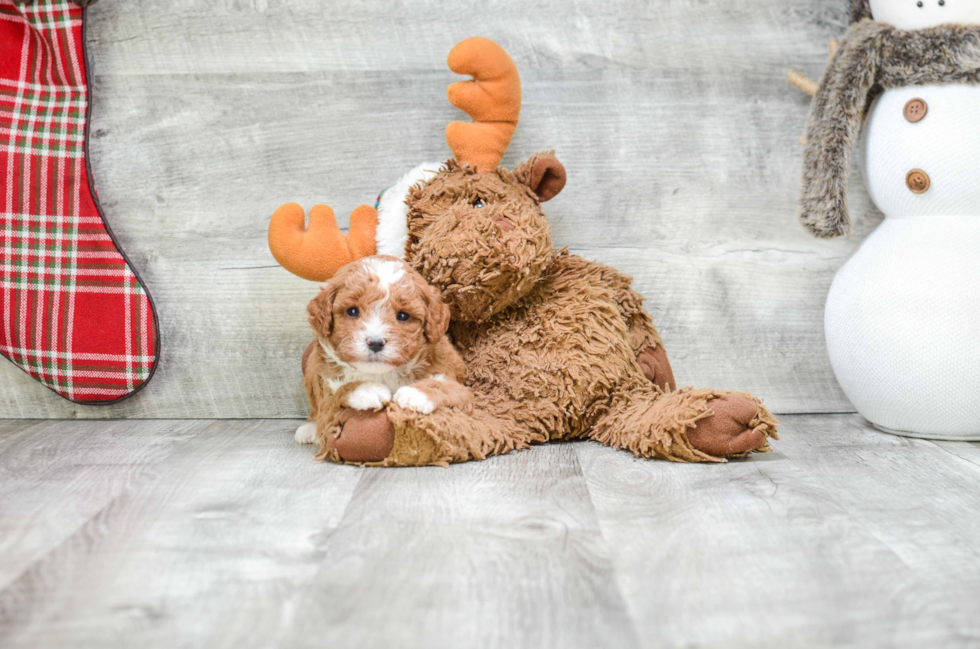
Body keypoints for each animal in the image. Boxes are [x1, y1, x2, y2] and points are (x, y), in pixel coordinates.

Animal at [292, 253, 472, 456]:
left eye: (403, 316)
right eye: (352, 311)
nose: (375, 342)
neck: (382, 373)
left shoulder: (462, 390)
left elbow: (445, 386)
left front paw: (415, 393)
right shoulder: (326, 398)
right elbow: (338, 393)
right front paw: (368, 390)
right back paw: (308, 429)